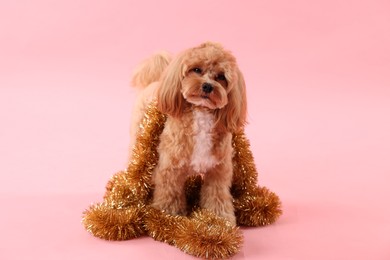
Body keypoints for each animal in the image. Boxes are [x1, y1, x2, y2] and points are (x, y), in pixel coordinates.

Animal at [130, 41, 247, 224]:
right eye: (196, 69)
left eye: (221, 77)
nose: (207, 86)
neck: (201, 114)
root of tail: (155, 82)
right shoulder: (170, 168)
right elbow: (170, 195)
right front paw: (167, 217)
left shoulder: (218, 171)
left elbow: (217, 196)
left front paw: (220, 220)